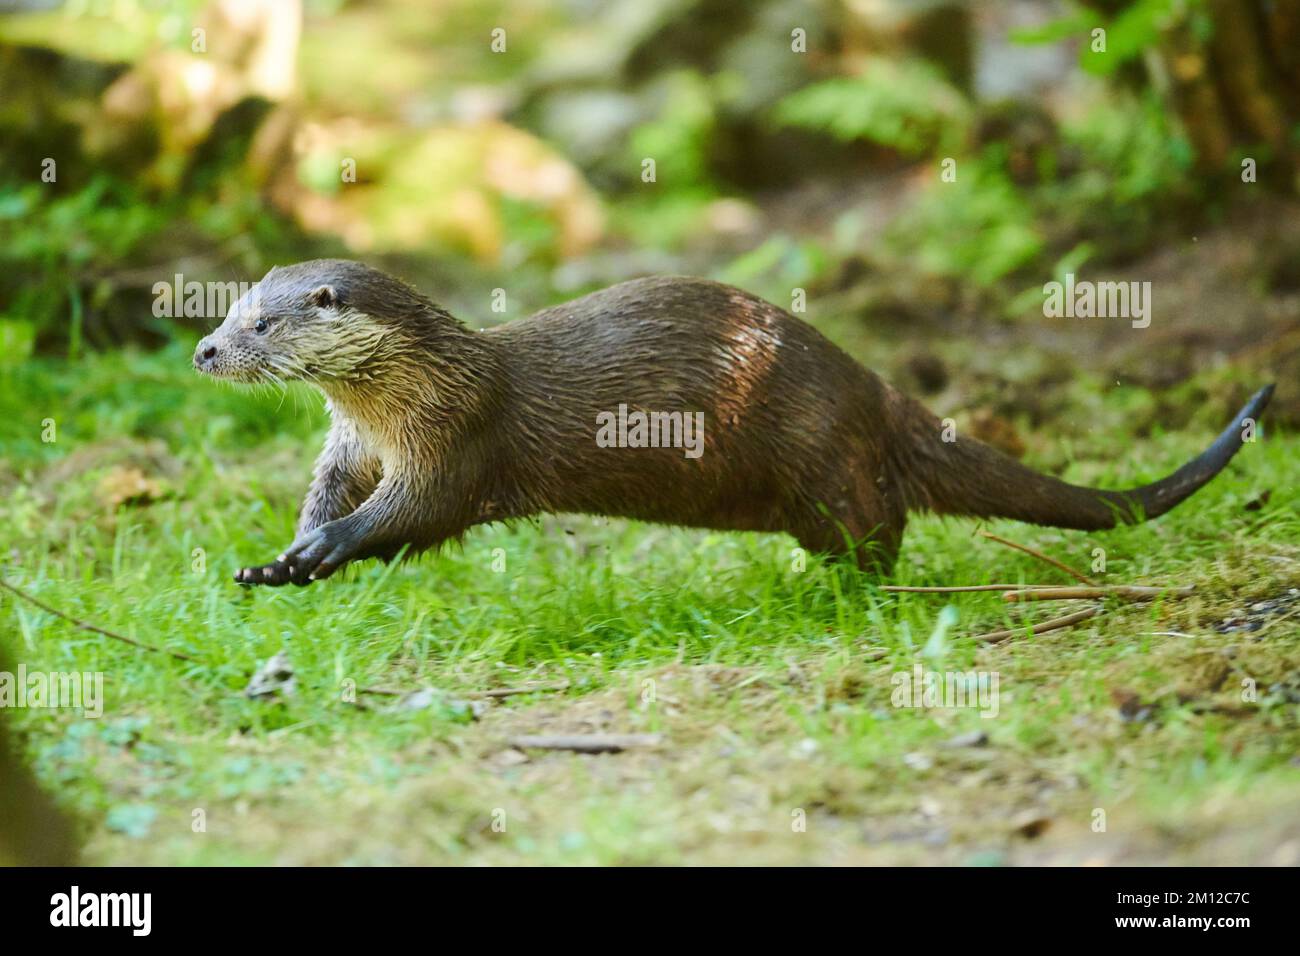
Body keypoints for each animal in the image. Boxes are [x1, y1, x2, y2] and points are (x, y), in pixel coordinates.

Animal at [192, 264, 1268, 590]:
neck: (414, 394)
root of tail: (872, 386)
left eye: (260, 323)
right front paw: (281, 553)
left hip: (824, 457)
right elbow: (331, 493)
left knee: (883, 529)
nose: (203, 350)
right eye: (229, 307)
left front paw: (316, 553)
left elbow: (408, 517)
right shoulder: (352, 445)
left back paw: (849, 592)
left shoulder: (456, 440)